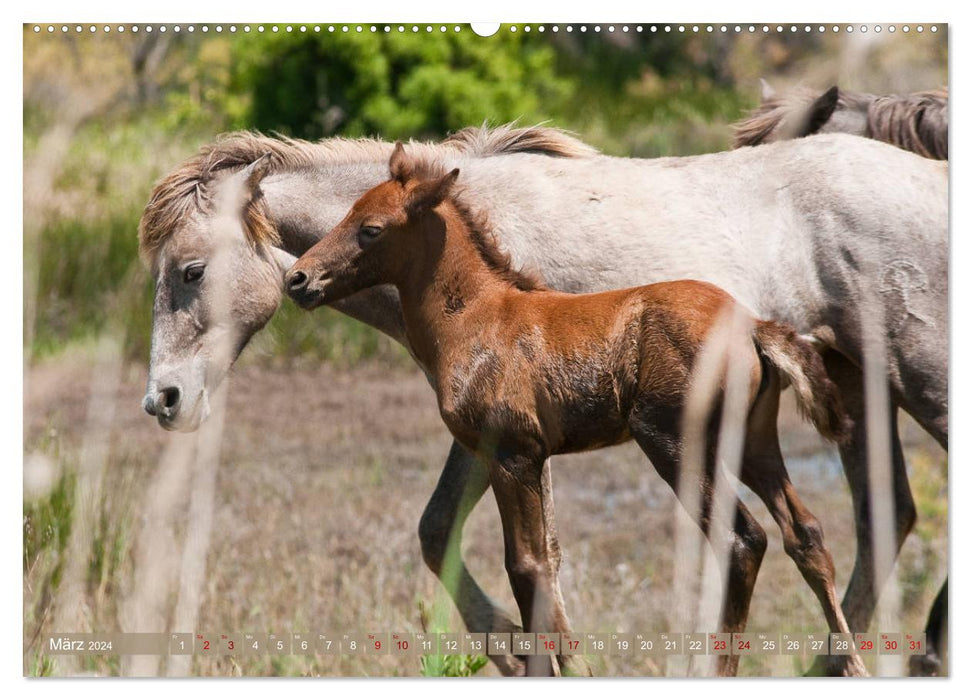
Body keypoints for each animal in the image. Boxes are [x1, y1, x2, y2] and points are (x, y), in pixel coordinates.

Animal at [282, 145, 864, 676]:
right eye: (349, 211)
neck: (475, 317)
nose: (299, 280)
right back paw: (851, 663)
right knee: (805, 532)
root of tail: (753, 327)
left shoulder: (511, 454)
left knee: (742, 540)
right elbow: (546, 566)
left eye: (371, 229)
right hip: (756, 439)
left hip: (674, 442)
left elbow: (527, 567)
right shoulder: (530, 458)